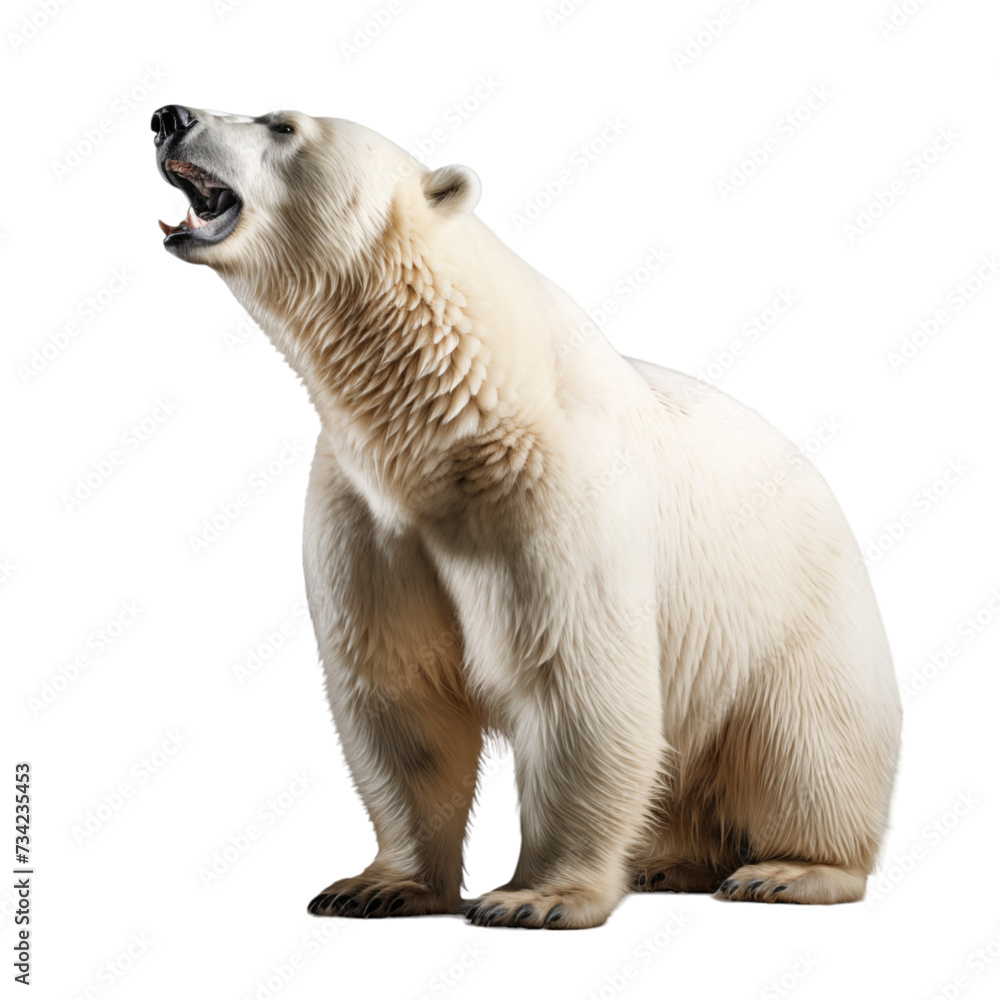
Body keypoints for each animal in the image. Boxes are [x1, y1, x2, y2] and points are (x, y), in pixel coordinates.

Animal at [152, 104, 902, 929]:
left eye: (280, 124)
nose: (169, 116)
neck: (455, 416)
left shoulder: (552, 496)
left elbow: (576, 683)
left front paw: (535, 897)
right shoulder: (367, 514)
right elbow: (398, 694)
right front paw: (376, 885)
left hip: (792, 618)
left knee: (806, 746)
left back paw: (789, 869)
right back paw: (667, 863)